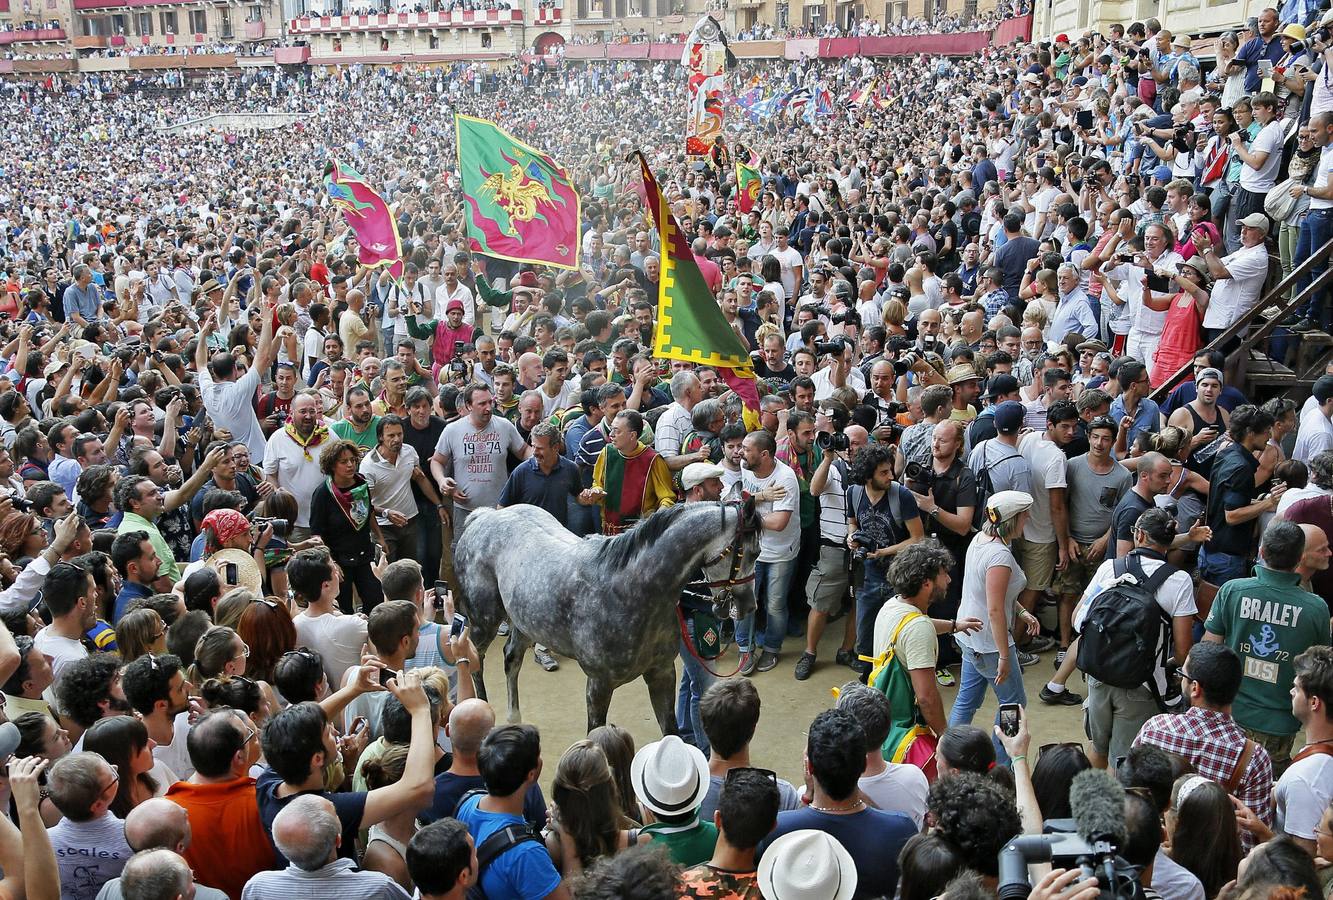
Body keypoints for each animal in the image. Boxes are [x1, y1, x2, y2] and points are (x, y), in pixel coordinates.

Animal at [455, 498, 762, 741]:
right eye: (753, 552)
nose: (749, 605)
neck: (631, 589)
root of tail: (484, 516)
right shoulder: (598, 685)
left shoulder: (661, 673)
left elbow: (671, 733)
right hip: (485, 620)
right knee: (474, 658)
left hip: (526, 622)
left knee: (511, 659)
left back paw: (513, 718)